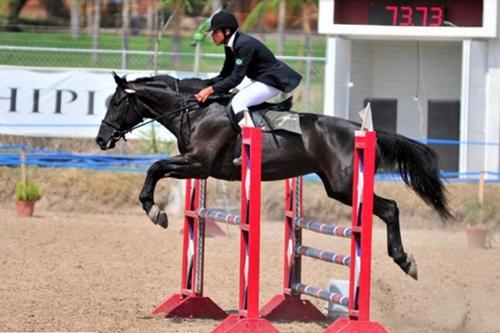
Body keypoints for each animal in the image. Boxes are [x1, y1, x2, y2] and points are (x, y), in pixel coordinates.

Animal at [95, 73, 452, 280]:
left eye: (116, 102)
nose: (101, 140)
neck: (194, 111)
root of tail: (364, 132)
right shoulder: (194, 166)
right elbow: (157, 169)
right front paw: (155, 210)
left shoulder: (198, 164)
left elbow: (154, 167)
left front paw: (154, 211)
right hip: (336, 187)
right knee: (387, 208)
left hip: (345, 186)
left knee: (390, 208)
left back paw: (405, 261)